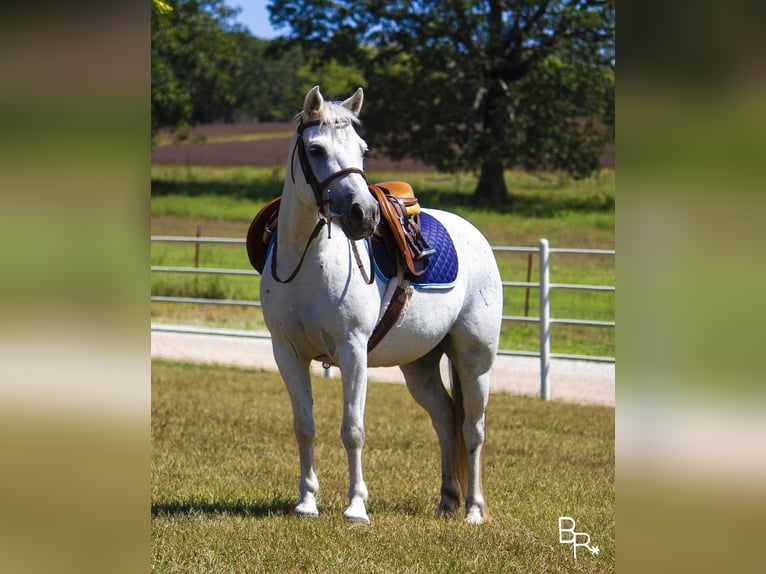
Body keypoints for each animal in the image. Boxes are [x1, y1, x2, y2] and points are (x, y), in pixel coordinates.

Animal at [260, 86, 508, 528]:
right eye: (316, 149)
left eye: (363, 148)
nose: (365, 214)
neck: (308, 261)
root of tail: (473, 234)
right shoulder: (286, 353)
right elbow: (304, 425)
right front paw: (307, 502)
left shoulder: (353, 351)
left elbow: (352, 428)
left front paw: (356, 506)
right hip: (420, 365)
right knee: (446, 419)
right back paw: (447, 500)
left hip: (474, 358)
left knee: (473, 428)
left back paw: (473, 510)